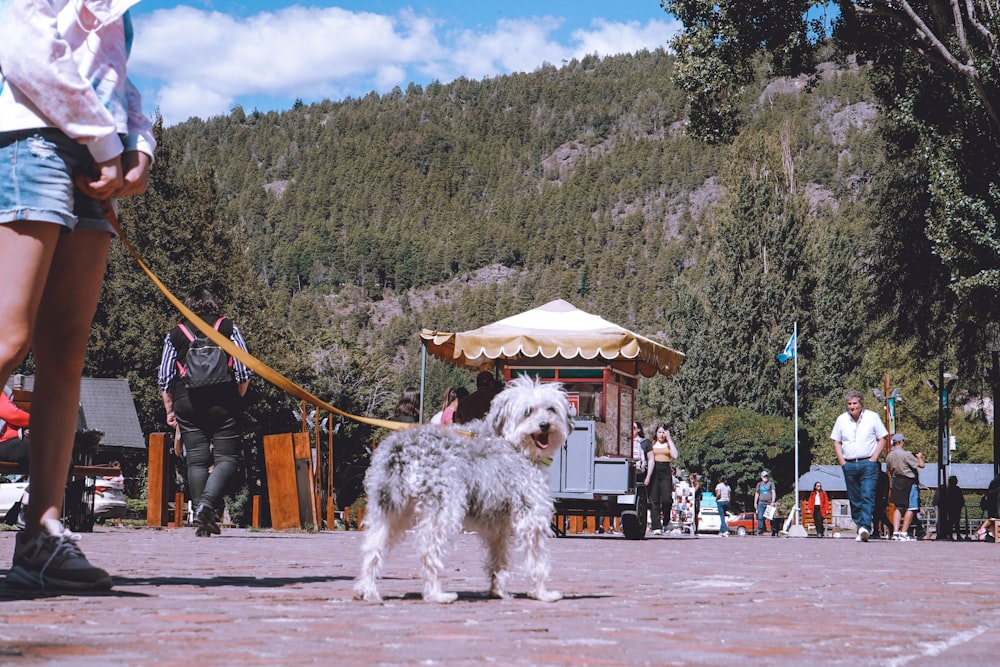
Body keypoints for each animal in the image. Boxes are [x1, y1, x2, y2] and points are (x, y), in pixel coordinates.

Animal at [352, 376, 572, 604]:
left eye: (551, 409)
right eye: (528, 411)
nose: (545, 425)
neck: (513, 444)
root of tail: (402, 448)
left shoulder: (498, 527)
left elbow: (499, 561)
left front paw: (498, 591)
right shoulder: (532, 518)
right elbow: (537, 561)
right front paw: (542, 593)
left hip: (390, 513)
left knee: (372, 549)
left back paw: (366, 590)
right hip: (442, 513)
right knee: (427, 553)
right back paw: (436, 594)